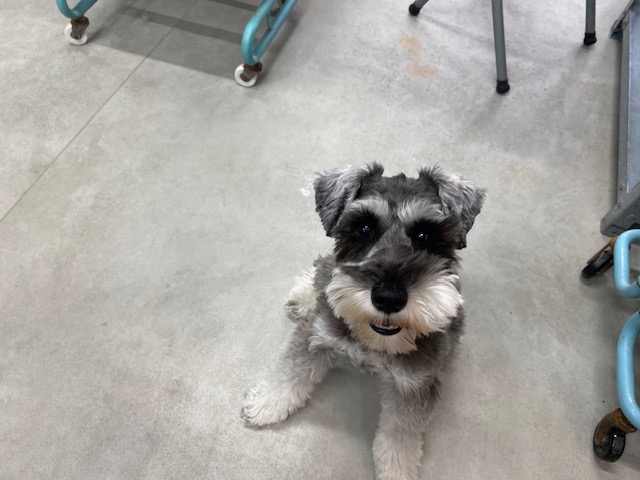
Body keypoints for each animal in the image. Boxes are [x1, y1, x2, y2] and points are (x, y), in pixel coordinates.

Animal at [242, 163, 485, 480]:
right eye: (364, 229)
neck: (374, 340)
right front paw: (266, 404)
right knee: (322, 267)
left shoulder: (415, 384)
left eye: (424, 235)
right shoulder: (316, 334)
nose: (388, 297)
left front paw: (396, 471)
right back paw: (304, 295)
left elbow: (400, 436)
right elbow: (291, 375)